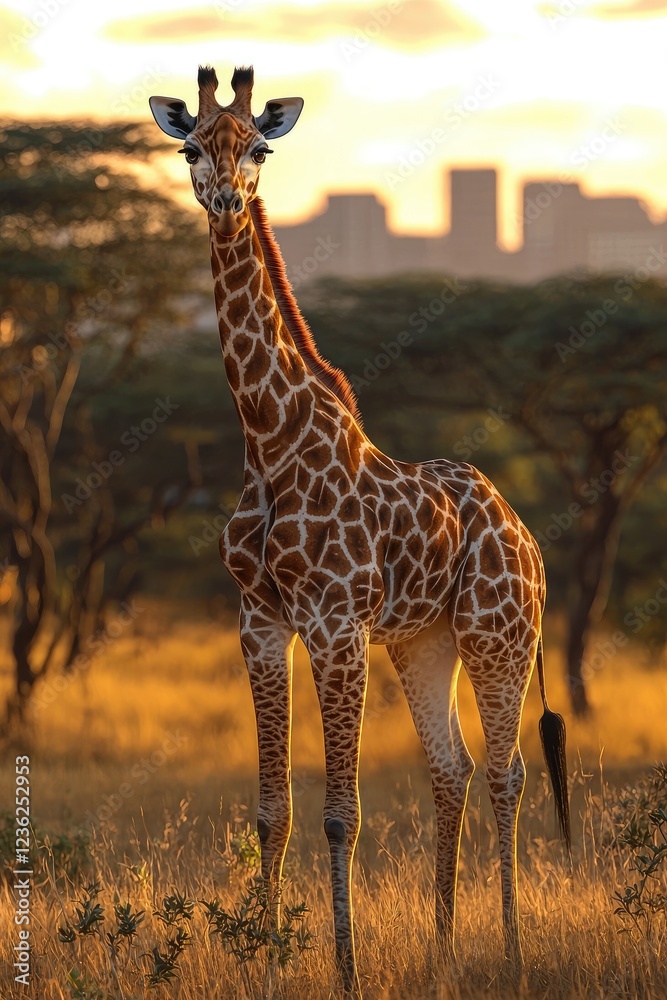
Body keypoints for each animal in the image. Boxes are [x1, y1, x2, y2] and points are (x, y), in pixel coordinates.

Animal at [150, 66, 570, 997]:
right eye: (190, 147)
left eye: (260, 148)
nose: (225, 198)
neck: (269, 438)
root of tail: (525, 535)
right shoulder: (260, 622)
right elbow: (272, 809)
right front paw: (263, 960)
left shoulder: (336, 624)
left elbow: (341, 814)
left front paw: (342, 971)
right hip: (422, 641)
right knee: (450, 769)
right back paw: (442, 952)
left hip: (499, 635)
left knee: (506, 772)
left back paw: (513, 954)